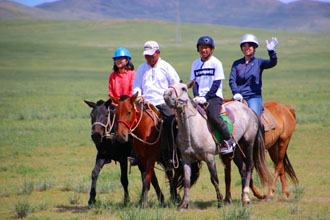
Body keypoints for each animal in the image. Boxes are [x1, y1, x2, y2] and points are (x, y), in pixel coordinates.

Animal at [163, 81, 270, 209]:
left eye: (183, 88)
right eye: (169, 86)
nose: (166, 94)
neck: (192, 130)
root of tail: (248, 109)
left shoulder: (209, 157)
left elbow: (214, 180)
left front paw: (220, 203)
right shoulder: (186, 158)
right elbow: (187, 181)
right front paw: (183, 205)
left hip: (248, 142)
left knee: (249, 166)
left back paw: (246, 198)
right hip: (236, 148)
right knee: (243, 169)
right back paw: (242, 198)